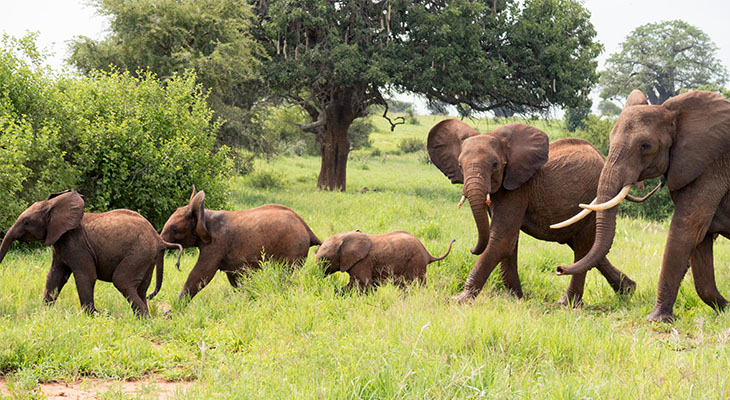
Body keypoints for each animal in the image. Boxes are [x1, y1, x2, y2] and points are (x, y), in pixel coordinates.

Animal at [0, 191, 181, 316]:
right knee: (141, 289)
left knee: (122, 281)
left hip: (139, 253)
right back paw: (143, 318)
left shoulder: (78, 246)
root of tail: (158, 238)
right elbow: (55, 276)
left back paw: (144, 319)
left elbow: (85, 276)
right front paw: (44, 312)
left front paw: (91, 315)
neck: (54, 205)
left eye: (26, 222)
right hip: (147, 258)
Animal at [162, 188, 322, 304]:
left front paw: (173, 310)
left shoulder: (216, 244)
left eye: (174, 229)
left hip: (293, 248)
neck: (204, 215)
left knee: (285, 274)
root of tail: (308, 229)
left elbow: (201, 274)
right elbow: (234, 279)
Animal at [426, 120, 636, 304]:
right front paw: (516, 299)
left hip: (594, 200)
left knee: (583, 245)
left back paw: (567, 304)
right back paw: (628, 290)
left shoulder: (518, 188)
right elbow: (509, 241)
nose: (470, 248)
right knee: (586, 246)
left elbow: (501, 238)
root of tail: (603, 156)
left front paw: (458, 300)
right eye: (460, 166)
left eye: (495, 165)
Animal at [552, 90, 728, 322]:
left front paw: (657, 319)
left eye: (645, 146)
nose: (559, 268)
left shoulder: (710, 170)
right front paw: (725, 307)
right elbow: (701, 239)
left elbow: (686, 230)